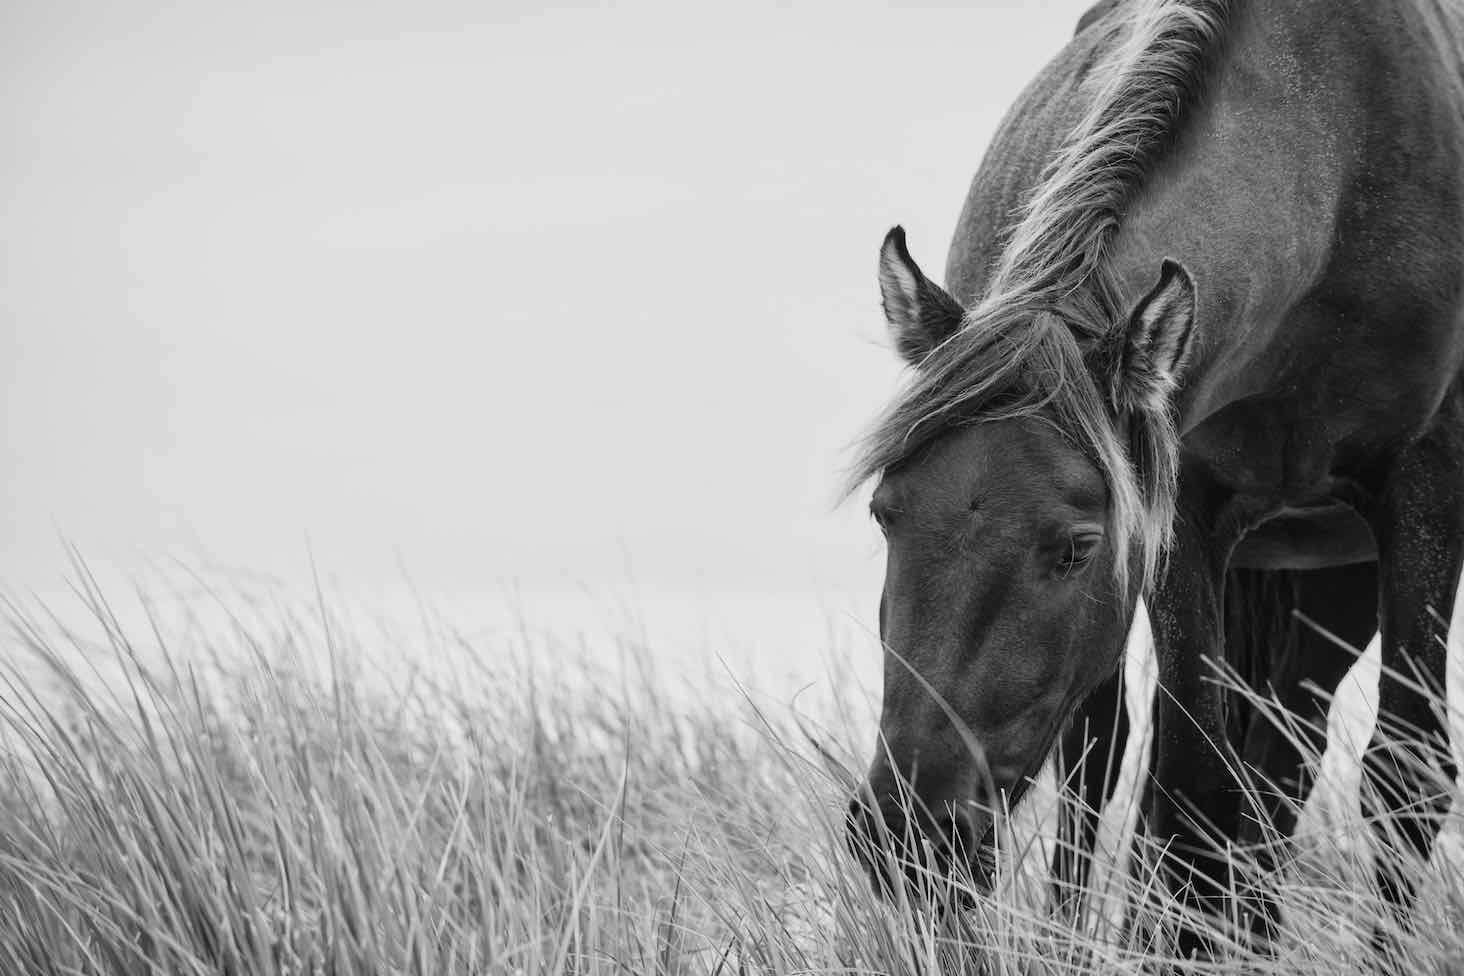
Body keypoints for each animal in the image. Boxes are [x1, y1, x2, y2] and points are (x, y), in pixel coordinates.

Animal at [843, 0, 1464, 956]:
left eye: (1077, 545)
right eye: (886, 514)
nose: (909, 833)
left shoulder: (1426, 489)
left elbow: (1405, 771)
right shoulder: (1186, 512)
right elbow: (1190, 781)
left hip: (1339, 576)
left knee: (1282, 759)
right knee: (1121, 754)